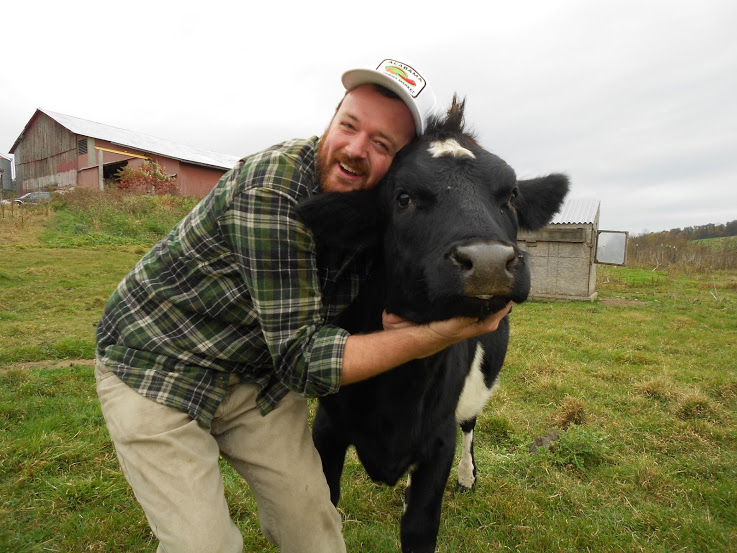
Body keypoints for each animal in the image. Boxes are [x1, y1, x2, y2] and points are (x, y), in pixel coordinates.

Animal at [294, 98, 568, 552]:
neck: (399, 393)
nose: (489, 262)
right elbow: (325, 508)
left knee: (470, 422)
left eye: (511, 196)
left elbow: (420, 527)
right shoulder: (328, 427)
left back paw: (467, 477)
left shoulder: (439, 440)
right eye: (403, 197)